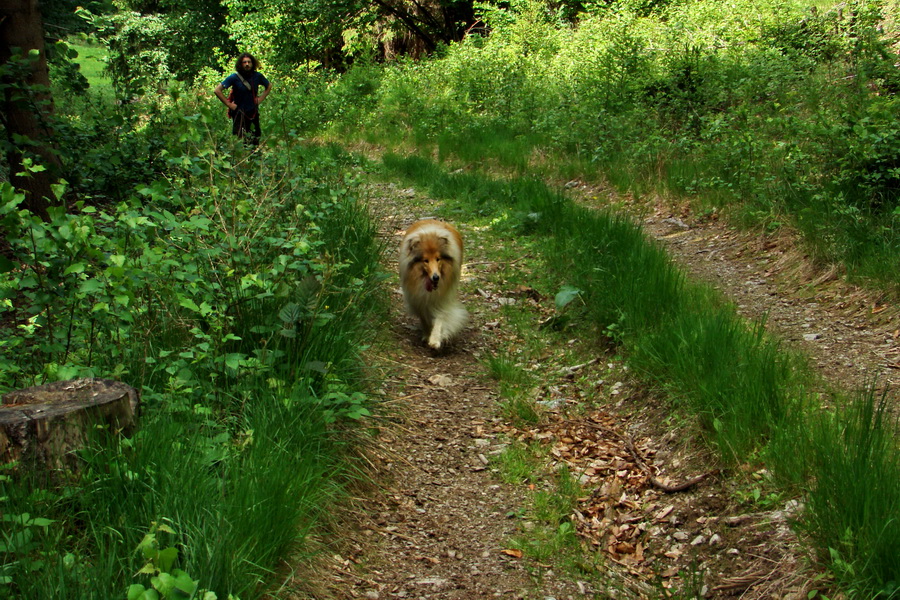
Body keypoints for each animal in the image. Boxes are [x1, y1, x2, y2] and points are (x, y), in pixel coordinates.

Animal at [398, 219, 468, 352]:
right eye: (425, 260)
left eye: (438, 259)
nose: (436, 277)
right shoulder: (418, 298)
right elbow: (424, 317)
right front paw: (427, 334)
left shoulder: (443, 298)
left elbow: (440, 317)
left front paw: (435, 340)